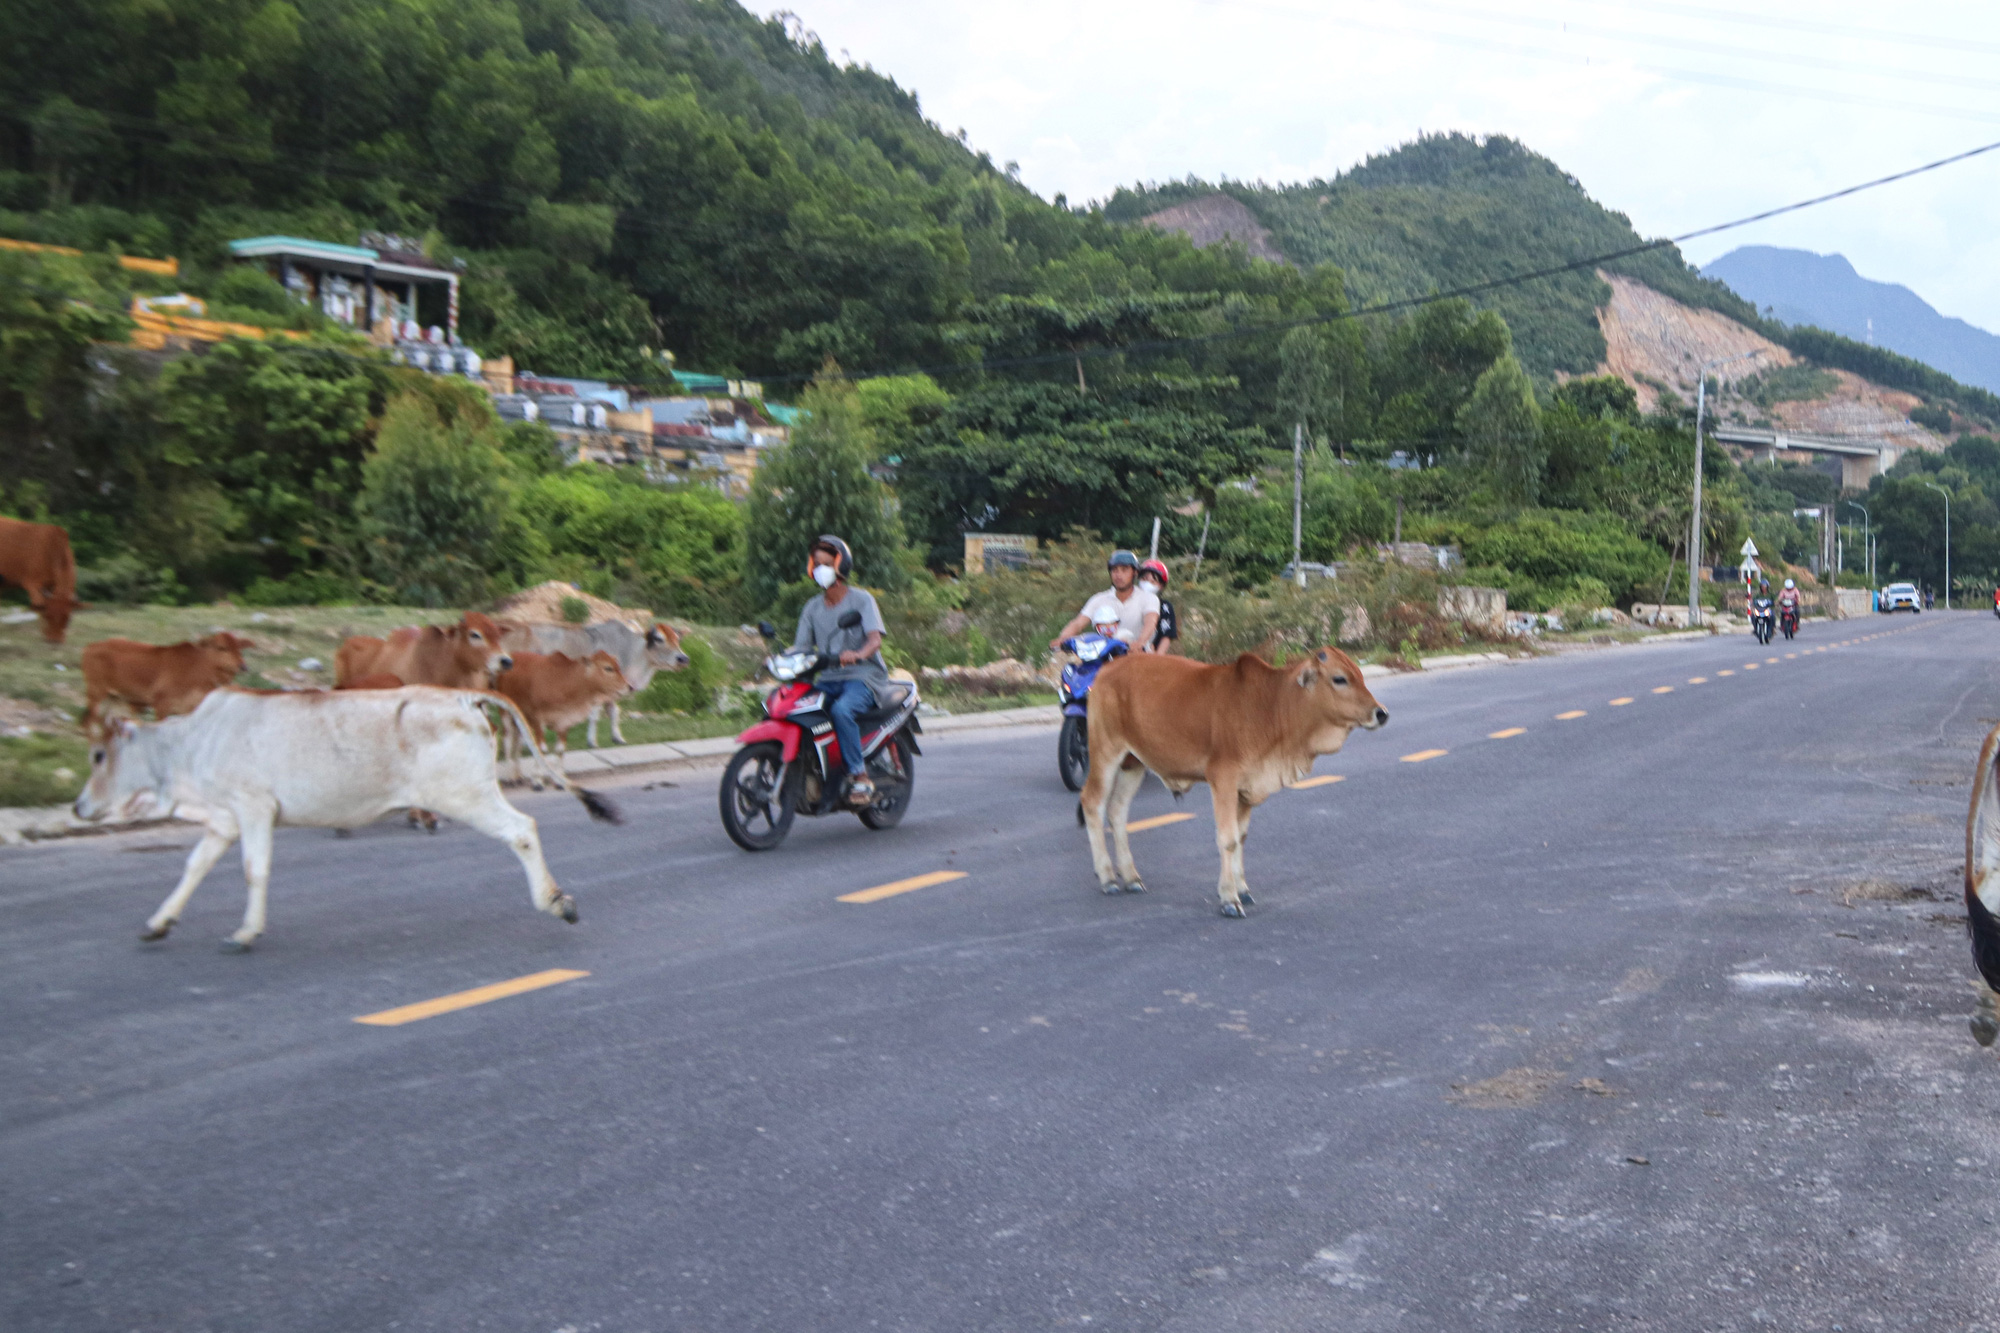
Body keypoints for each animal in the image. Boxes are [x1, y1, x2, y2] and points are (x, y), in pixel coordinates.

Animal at [0, 512, 81, 644]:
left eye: (68, 618)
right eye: (49, 616)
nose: (55, 639)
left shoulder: (50, 586)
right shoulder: (31, 583)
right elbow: (39, 604)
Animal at [72, 684, 616, 944]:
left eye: (98, 756)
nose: (78, 806)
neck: (190, 746)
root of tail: (462, 693)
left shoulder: (254, 807)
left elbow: (254, 869)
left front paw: (245, 932)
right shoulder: (224, 819)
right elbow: (193, 867)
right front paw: (159, 923)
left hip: (466, 795)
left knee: (522, 829)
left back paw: (558, 902)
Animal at [81, 628, 254, 732]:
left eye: (239, 648)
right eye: (221, 647)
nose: (243, 666)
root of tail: (90, 646)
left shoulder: (189, 710)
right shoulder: (161, 705)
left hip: (114, 701)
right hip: (96, 694)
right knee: (89, 723)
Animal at [1080, 644, 1392, 912]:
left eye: (1359, 675)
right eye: (1340, 679)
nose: (1381, 713)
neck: (1272, 706)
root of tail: (1106, 671)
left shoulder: (1246, 788)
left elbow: (1241, 837)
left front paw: (1243, 889)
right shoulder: (1223, 780)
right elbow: (1227, 839)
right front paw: (1229, 898)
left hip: (1133, 763)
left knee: (1117, 810)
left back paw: (1131, 877)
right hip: (1106, 752)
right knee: (1092, 803)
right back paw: (1108, 878)